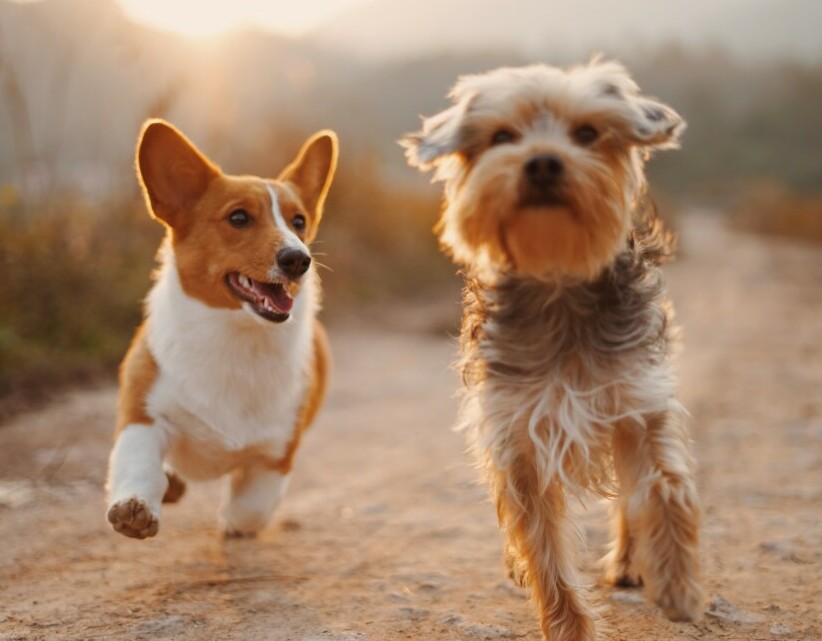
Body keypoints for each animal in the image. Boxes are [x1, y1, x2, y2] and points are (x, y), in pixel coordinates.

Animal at [107, 119, 338, 536]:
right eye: (239, 218)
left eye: (299, 222)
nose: (299, 259)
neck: (236, 336)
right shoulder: (143, 415)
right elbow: (139, 463)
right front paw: (135, 507)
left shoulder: (276, 454)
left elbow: (251, 508)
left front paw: (232, 521)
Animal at [402, 60, 704, 640]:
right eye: (502, 137)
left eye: (587, 133)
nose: (543, 161)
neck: (558, 279)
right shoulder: (517, 434)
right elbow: (542, 545)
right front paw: (569, 626)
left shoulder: (638, 401)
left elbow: (665, 486)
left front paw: (677, 581)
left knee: (629, 500)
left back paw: (631, 561)